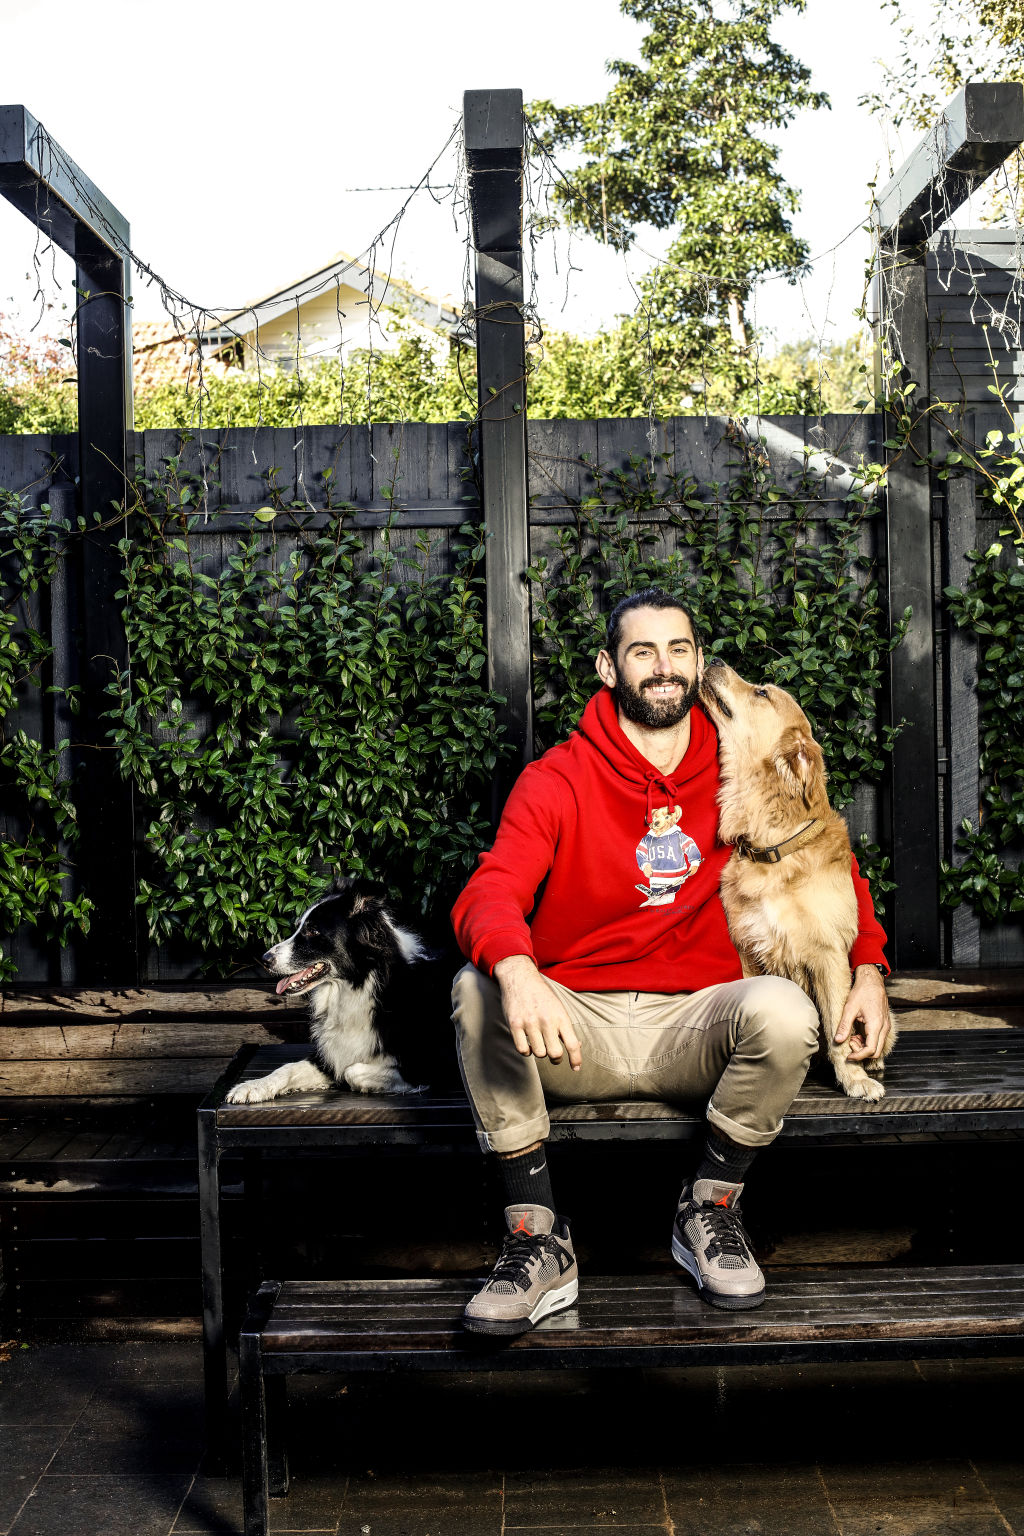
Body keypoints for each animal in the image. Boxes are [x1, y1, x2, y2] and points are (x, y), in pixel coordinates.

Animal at [225, 884, 445, 1099]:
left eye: (313, 930)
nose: (265, 959)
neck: (357, 987)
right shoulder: (330, 1055)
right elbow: (287, 1068)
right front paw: (251, 1087)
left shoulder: (423, 1067)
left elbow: (351, 1071)